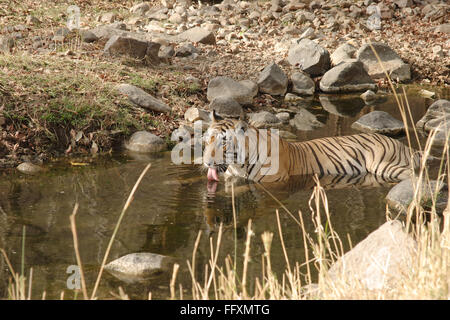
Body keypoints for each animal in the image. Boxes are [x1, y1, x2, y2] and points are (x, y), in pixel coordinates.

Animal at [204, 111, 422, 184]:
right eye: (206, 140)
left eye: (223, 142)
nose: (206, 163)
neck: (239, 164)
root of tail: (403, 145)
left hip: (382, 164)